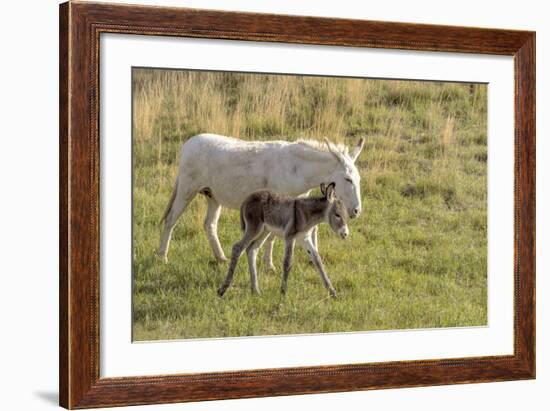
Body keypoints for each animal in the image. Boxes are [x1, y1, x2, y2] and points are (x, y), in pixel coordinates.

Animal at [217, 183, 350, 300]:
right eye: (337, 215)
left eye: (345, 215)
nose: (345, 234)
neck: (307, 214)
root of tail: (246, 199)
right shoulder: (290, 237)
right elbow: (287, 262)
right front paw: (283, 292)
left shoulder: (304, 239)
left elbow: (317, 260)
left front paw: (333, 292)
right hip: (254, 228)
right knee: (237, 248)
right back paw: (222, 290)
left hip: (264, 231)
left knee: (252, 250)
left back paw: (255, 290)